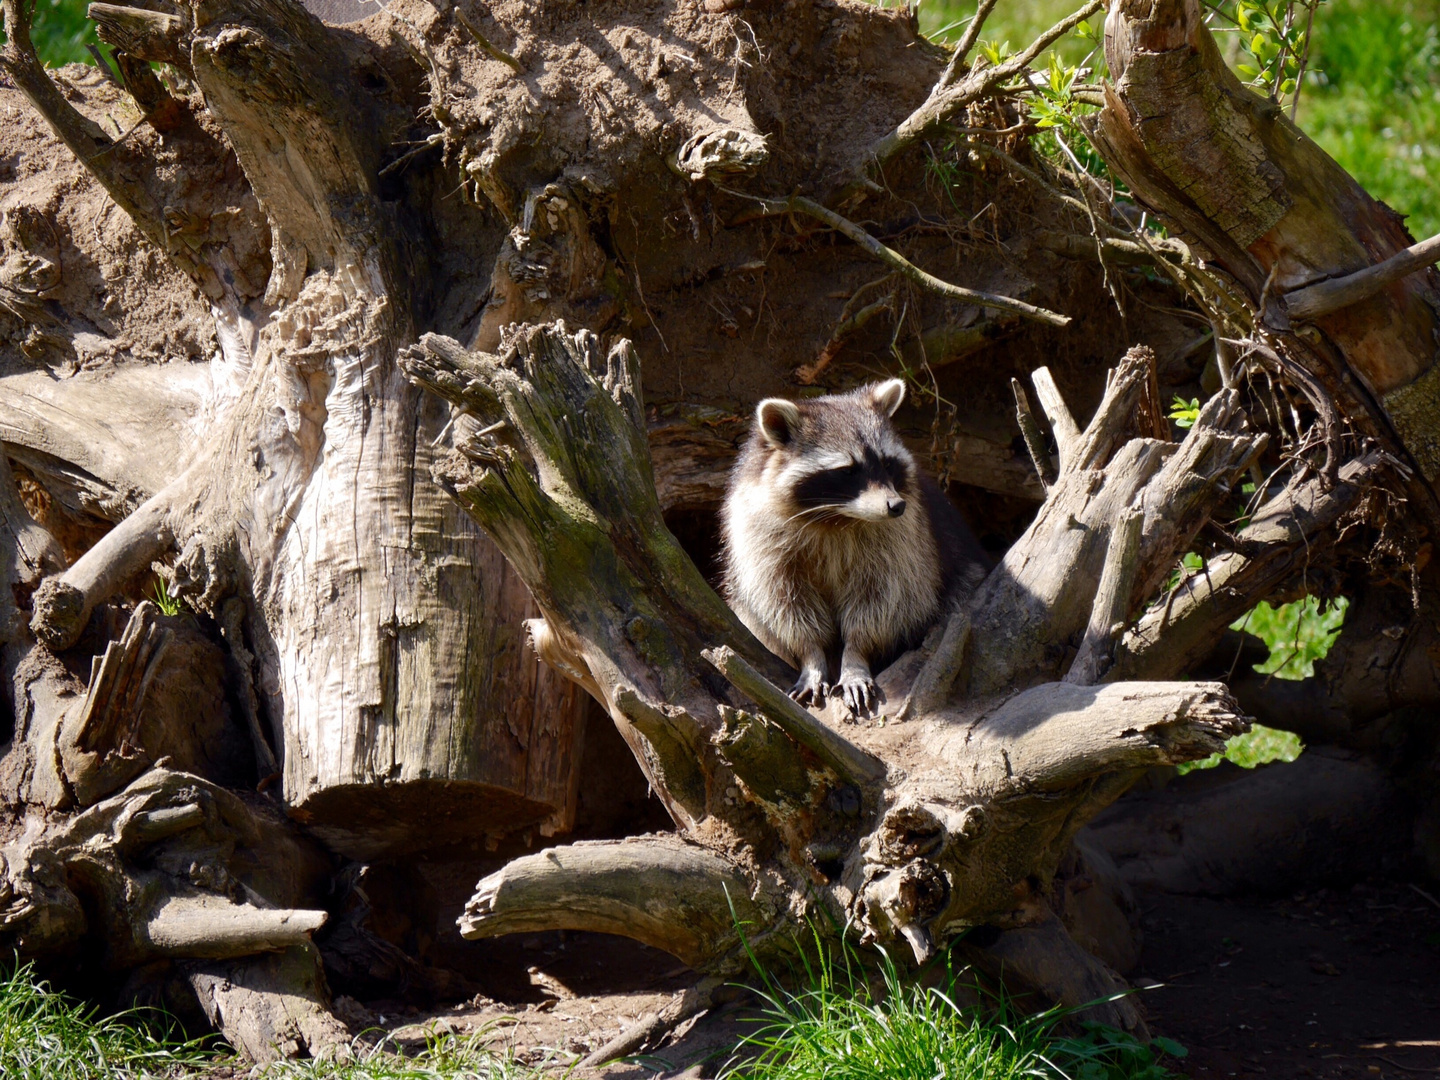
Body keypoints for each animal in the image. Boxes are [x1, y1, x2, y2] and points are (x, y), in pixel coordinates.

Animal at [720, 380, 990, 720]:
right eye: (848, 470)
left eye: (886, 463)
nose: (896, 506)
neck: (837, 517)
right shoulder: (758, 530)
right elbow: (785, 601)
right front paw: (811, 656)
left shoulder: (904, 539)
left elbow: (884, 598)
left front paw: (855, 656)